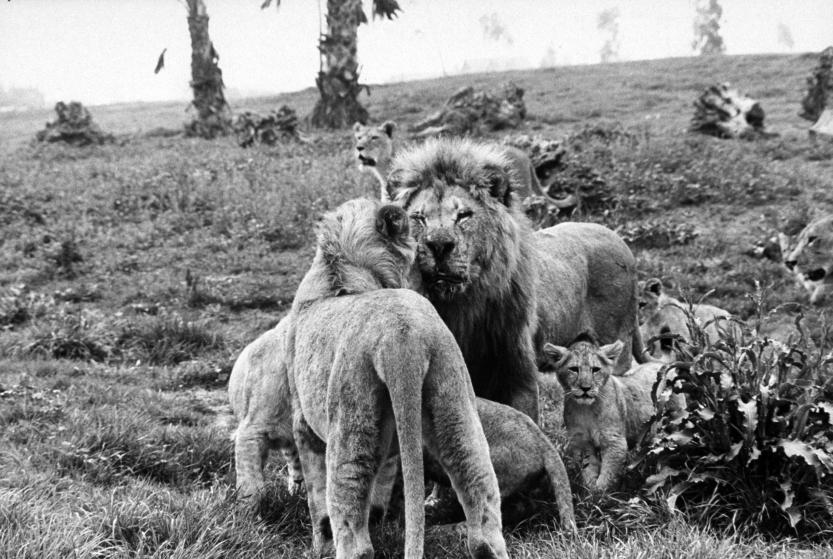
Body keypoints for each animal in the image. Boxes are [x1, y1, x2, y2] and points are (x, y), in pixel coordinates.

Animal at [286, 199, 508, 559]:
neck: (344, 269)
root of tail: (402, 336)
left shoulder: (303, 425)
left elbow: (317, 503)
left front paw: (318, 547)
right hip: (455, 403)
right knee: (482, 504)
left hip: (351, 418)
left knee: (352, 531)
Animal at [540, 334, 664, 492]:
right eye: (574, 369)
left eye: (595, 370)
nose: (585, 388)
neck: (586, 409)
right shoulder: (582, 442)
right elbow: (588, 467)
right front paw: (590, 489)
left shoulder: (614, 441)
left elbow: (608, 474)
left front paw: (600, 493)